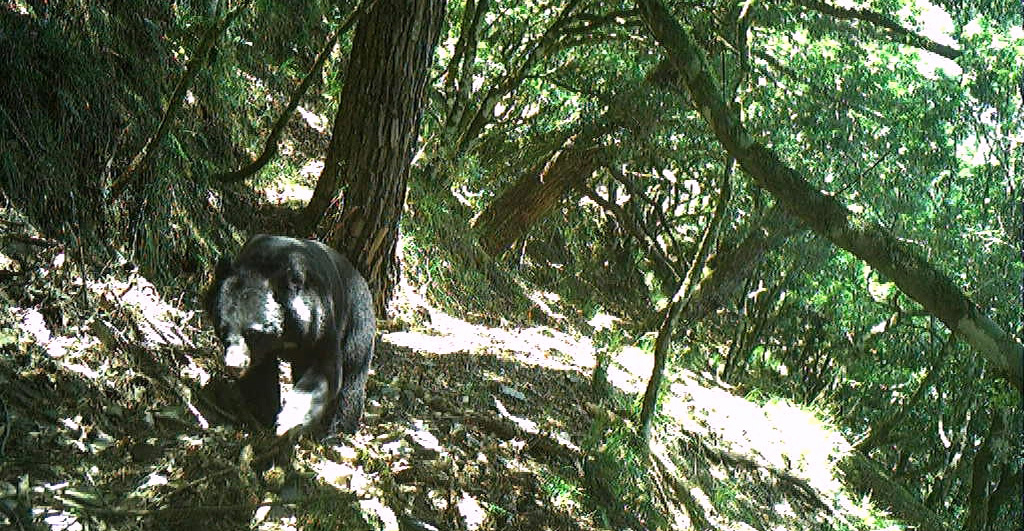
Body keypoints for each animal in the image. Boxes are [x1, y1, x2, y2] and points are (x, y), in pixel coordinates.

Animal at [203, 236, 376, 435]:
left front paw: (288, 419)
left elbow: (326, 369)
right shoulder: (261, 353)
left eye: (252, 333)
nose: (234, 365)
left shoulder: (320, 323)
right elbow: (260, 377)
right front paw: (265, 417)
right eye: (222, 330)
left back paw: (340, 428)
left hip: (357, 320)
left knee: (353, 373)